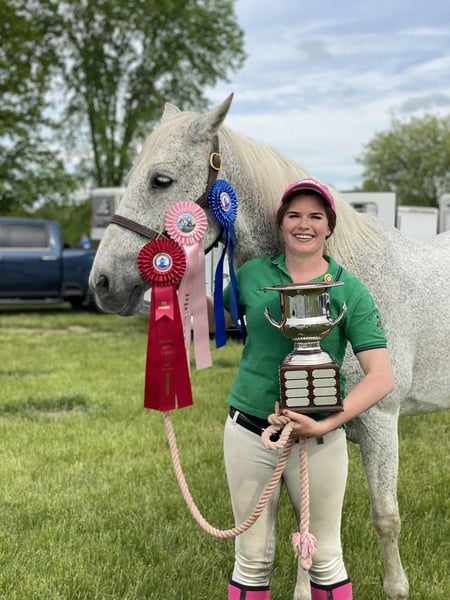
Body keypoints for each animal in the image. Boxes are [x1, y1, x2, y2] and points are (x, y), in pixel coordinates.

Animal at [89, 94, 450, 600]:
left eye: (161, 179)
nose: (102, 284)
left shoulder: (381, 419)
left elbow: (386, 517)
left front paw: (397, 588)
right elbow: (305, 519)